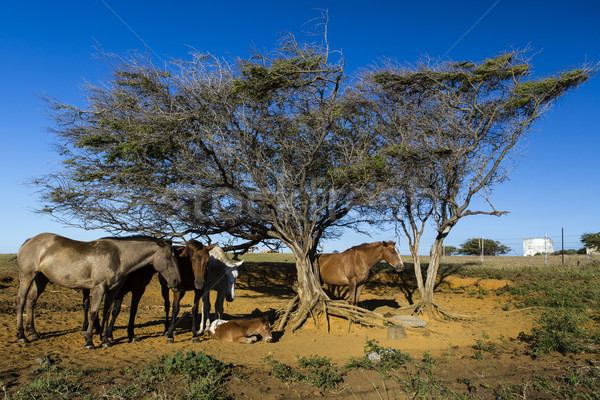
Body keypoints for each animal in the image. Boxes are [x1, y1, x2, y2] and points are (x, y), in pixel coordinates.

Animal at [15, 233, 180, 348]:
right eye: (167, 257)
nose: (176, 282)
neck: (119, 256)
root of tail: (28, 241)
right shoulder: (99, 287)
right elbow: (94, 312)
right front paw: (89, 341)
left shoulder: (113, 290)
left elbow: (106, 312)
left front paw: (105, 339)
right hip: (27, 277)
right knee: (21, 302)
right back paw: (21, 336)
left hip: (41, 279)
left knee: (31, 301)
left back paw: (33, 333)